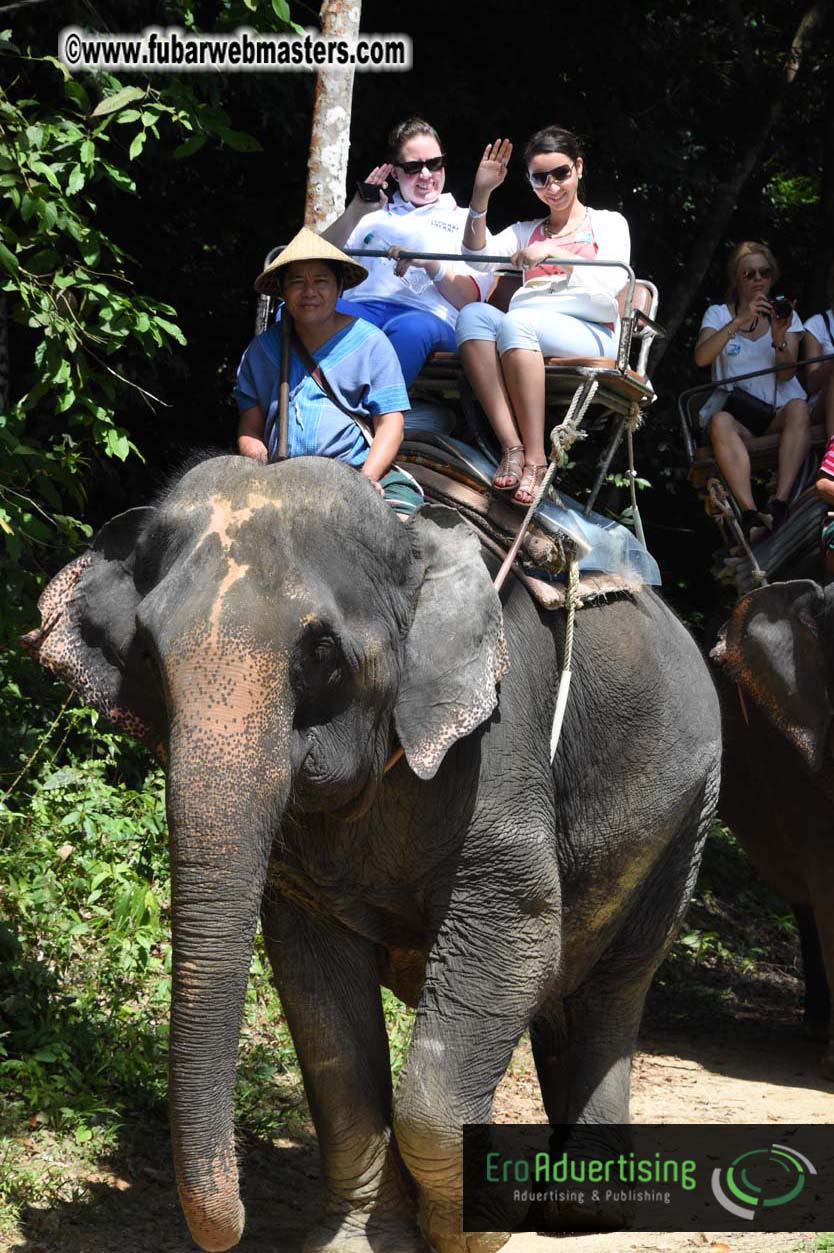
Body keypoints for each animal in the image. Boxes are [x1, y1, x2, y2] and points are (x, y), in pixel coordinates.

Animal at [23, 453, 721, 1253]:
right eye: (144, 651)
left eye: (323, 652)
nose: (234, 1223)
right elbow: (322, 1002)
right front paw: (363, 1238)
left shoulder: (501, 740)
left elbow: (518, 934)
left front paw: (478, 1223)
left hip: (692, 805)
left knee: (614, 982)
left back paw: (582, 1211)